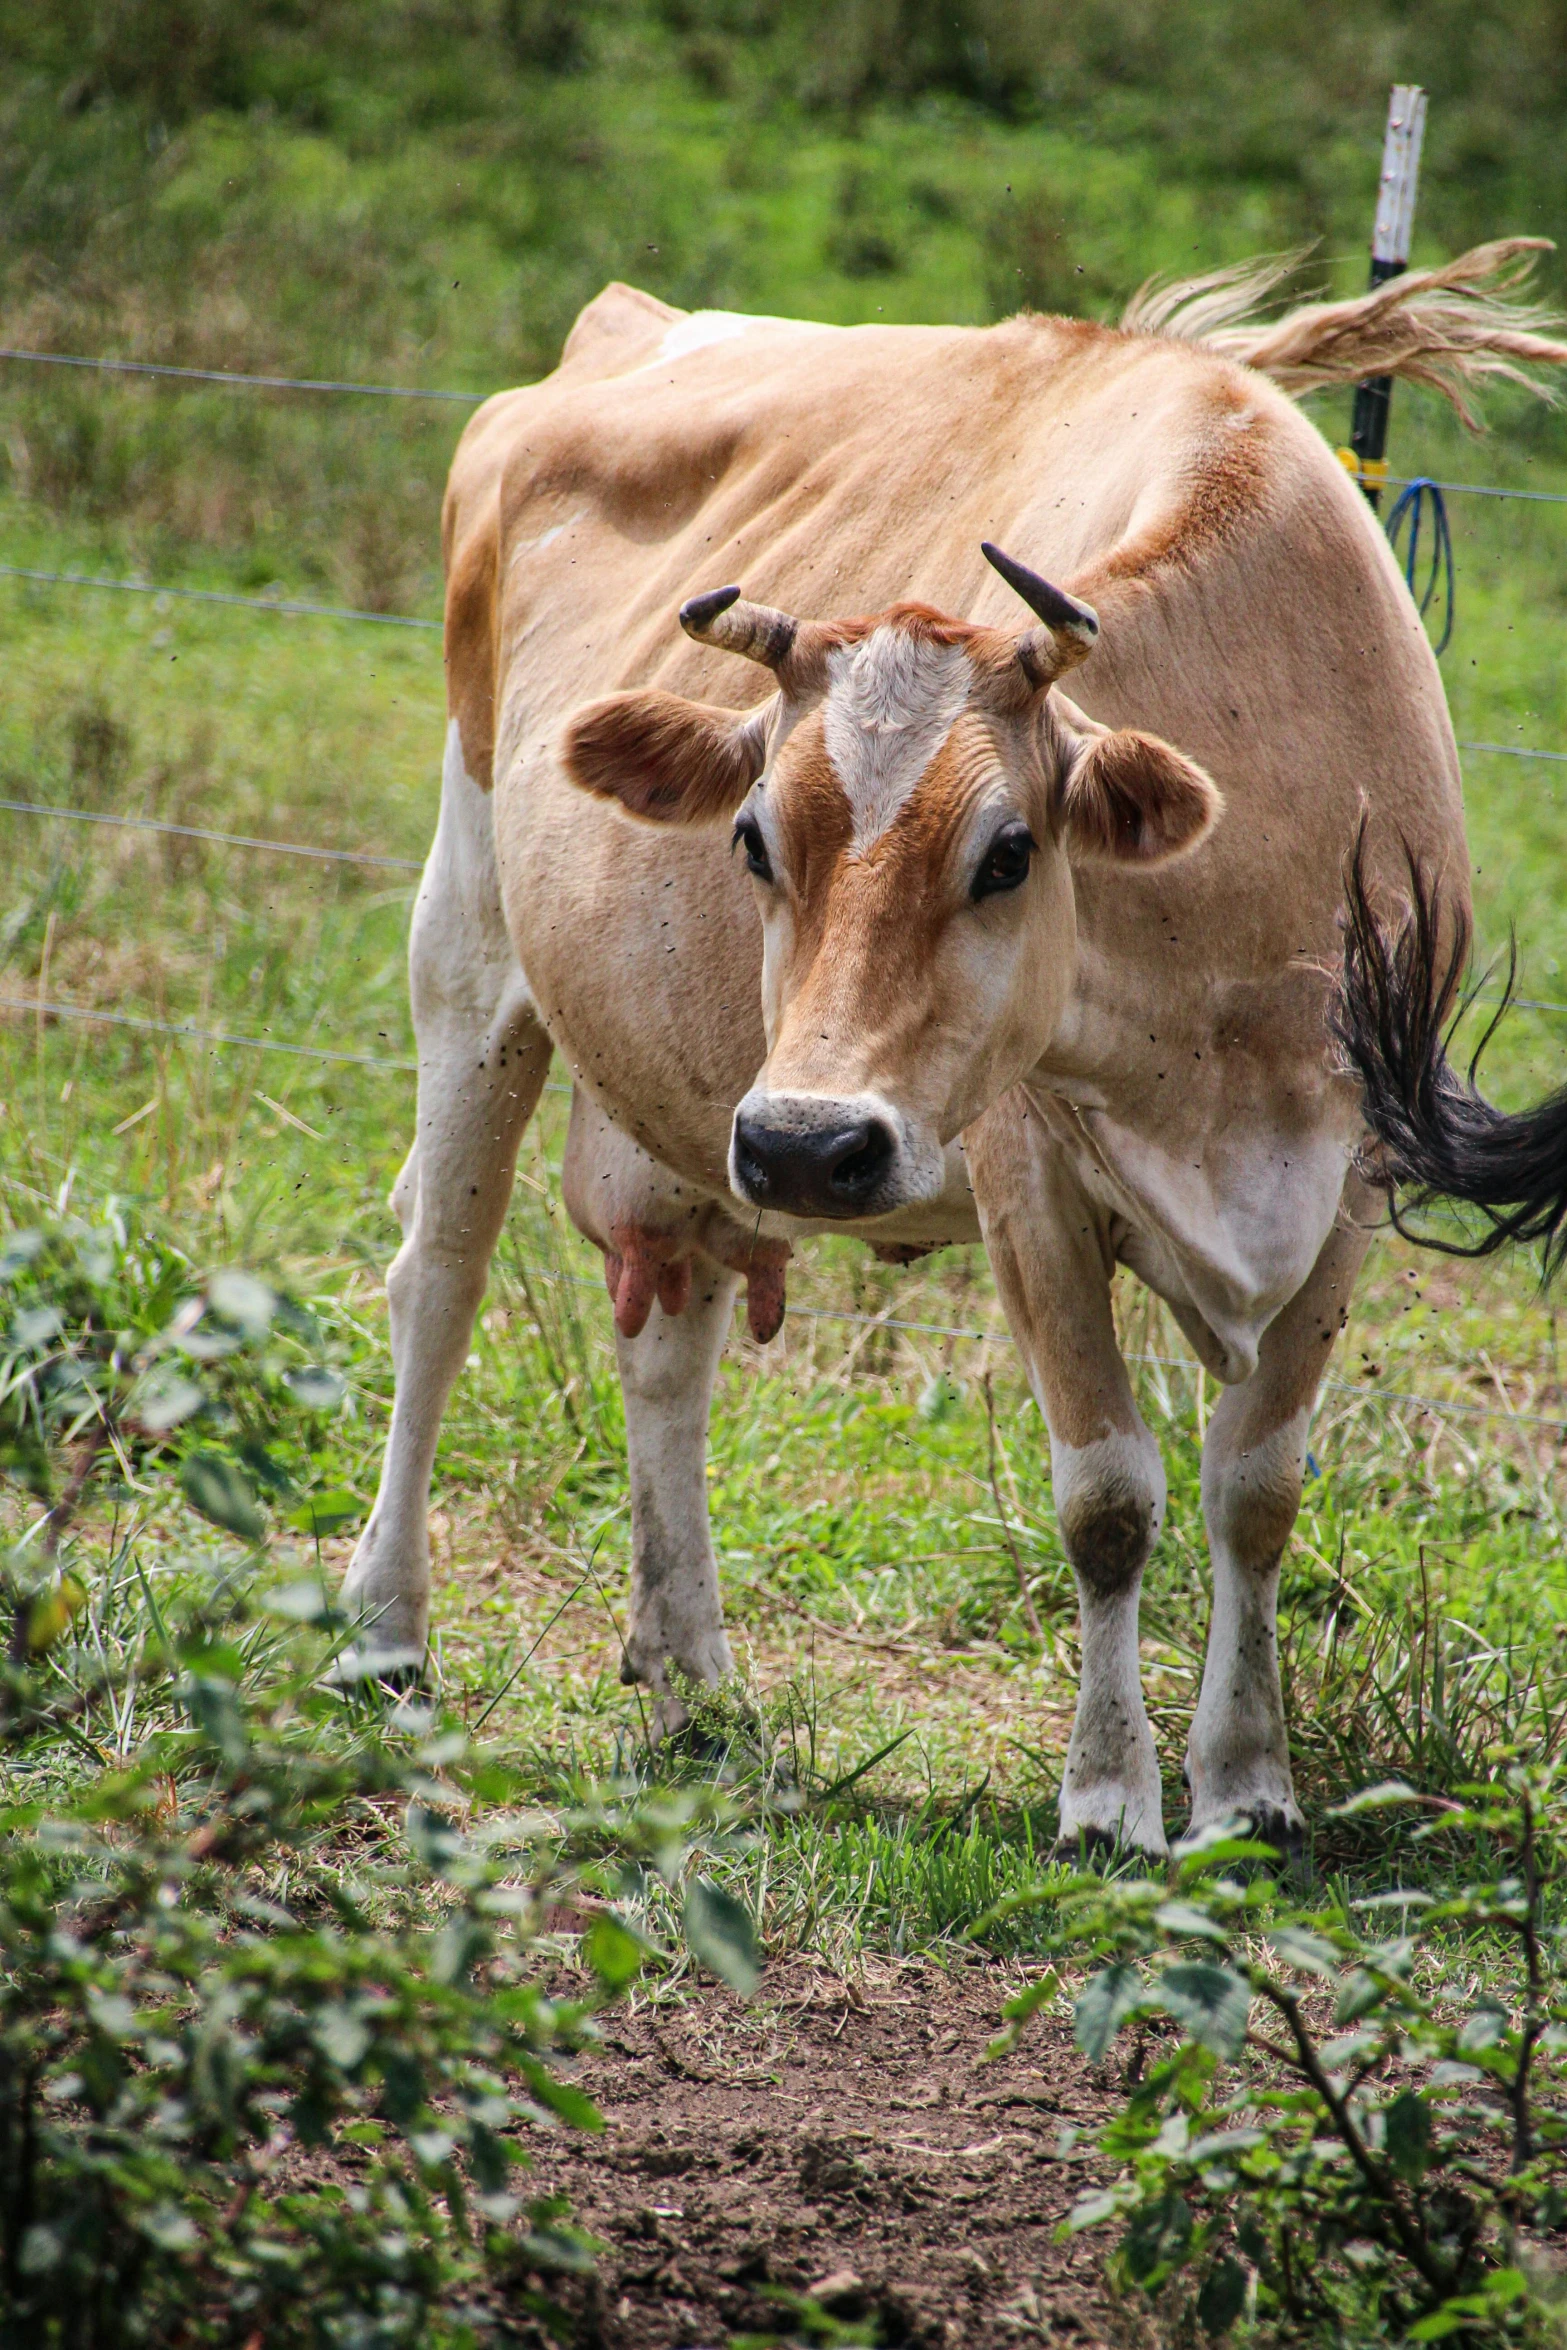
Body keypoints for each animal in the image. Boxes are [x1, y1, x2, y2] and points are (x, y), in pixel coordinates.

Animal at [340, 238, 1567, 1851]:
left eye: (1006, 851)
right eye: (753, 838)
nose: (806, 1141)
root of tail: (631, 326)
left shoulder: (1350, 1183)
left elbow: (1255, 1487)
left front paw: (1245, 1784)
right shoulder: (1022, 1174)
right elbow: (1109, 1494)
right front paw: (1107, 1795)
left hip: (694, 1117)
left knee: (669, 1343)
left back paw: (692, 1673)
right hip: (475, 942)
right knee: (438, 1274)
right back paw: (382, 1629)